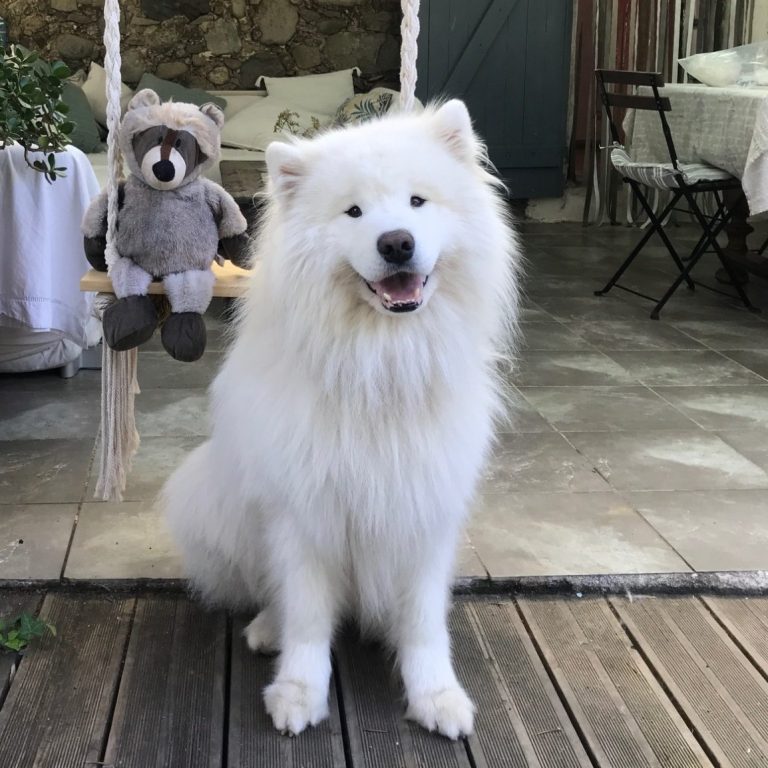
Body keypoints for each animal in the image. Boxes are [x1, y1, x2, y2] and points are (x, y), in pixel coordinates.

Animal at [162, 99, 521, 739]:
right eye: (353, 211)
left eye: (417, 201)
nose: (397, 242)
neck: (380, 363)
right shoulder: (305, 514)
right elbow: (306, 617)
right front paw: (298, 693)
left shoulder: (424, 511)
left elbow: (424, 624)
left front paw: (437, 696)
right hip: (209, 502)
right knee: (272, 596)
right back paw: (267, 629)